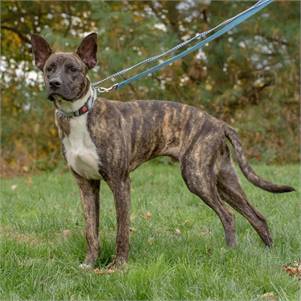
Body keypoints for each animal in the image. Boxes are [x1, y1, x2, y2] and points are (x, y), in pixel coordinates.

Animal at [30, 32, 292, 270]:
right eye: (49, 69)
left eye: (73, 69)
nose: (54, 83)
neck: (79, 114)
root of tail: (218, 123)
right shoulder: (86, 185)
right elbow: (90, 230)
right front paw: (89, 264)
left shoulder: (120, 182)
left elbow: (122, 229)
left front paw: (119, 265)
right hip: (224, 179)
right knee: (256, 215)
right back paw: (267, 253)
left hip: (197, 177)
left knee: (228, 215)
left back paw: (229, 253)